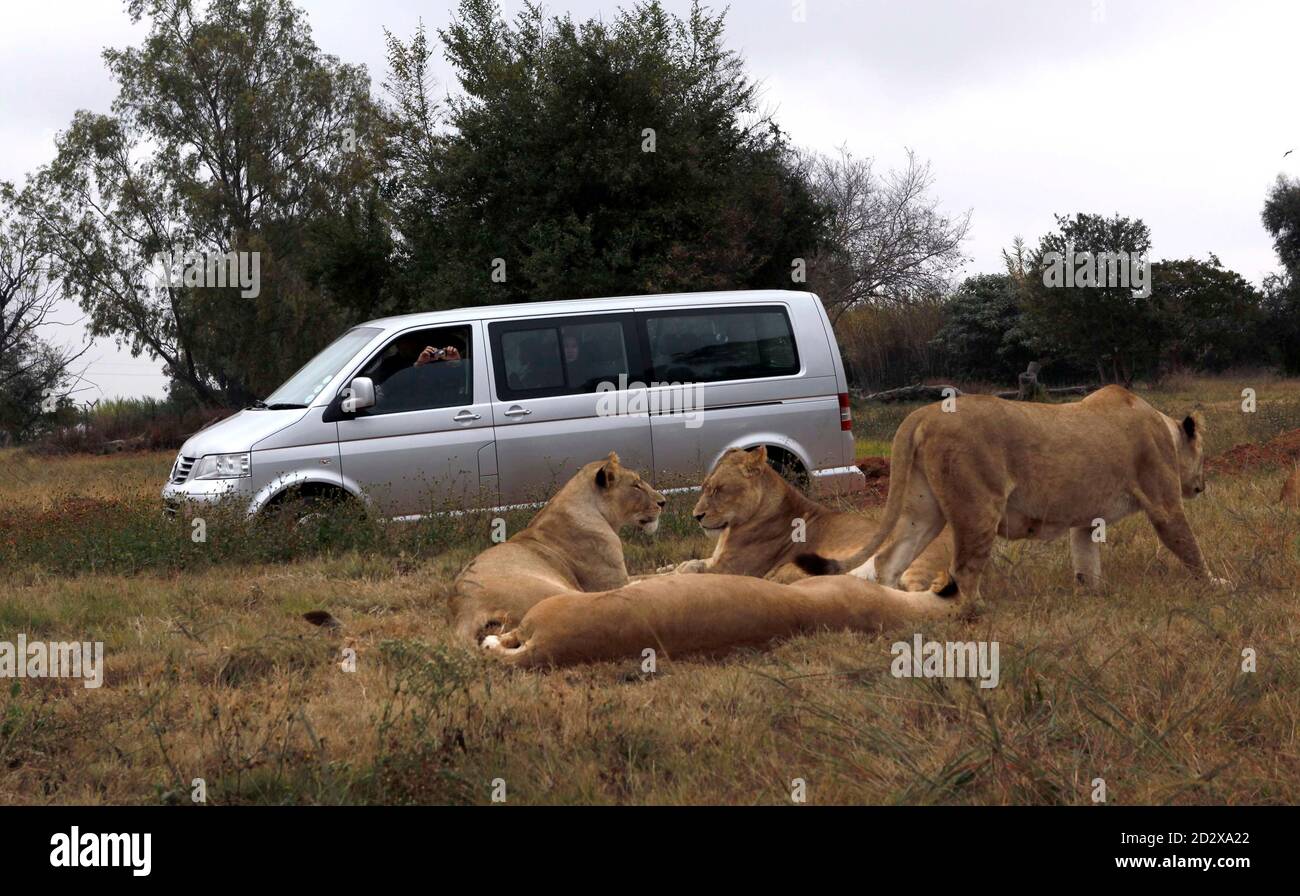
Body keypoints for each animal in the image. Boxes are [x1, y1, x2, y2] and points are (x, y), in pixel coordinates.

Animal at [449, 452, 666, 643]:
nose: (663, 502)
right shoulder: (612, 581)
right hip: (557, 592)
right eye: (636, 485)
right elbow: (645, 576)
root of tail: (464, 604)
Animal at [659, 445, 951, 590]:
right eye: (704, 487)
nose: (696, 516)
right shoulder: (717, 560)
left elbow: (686, 571)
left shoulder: (731, 569)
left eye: (719, 490)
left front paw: (668, 574)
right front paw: (669, 568)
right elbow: (687, 562)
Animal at [795, 385, 1219, 599]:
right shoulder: (1163, 501)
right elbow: (1190, 547)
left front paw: (1095, 597)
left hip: (923, 510)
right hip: (979, 506)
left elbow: (1086, 563)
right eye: (1204, 454)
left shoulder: (1084, 521)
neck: (1163, 428)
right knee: (964, 569)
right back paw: (974, 615)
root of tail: (923, 413)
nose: (1201, 486)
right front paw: (1218, 586)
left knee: (888, 562)